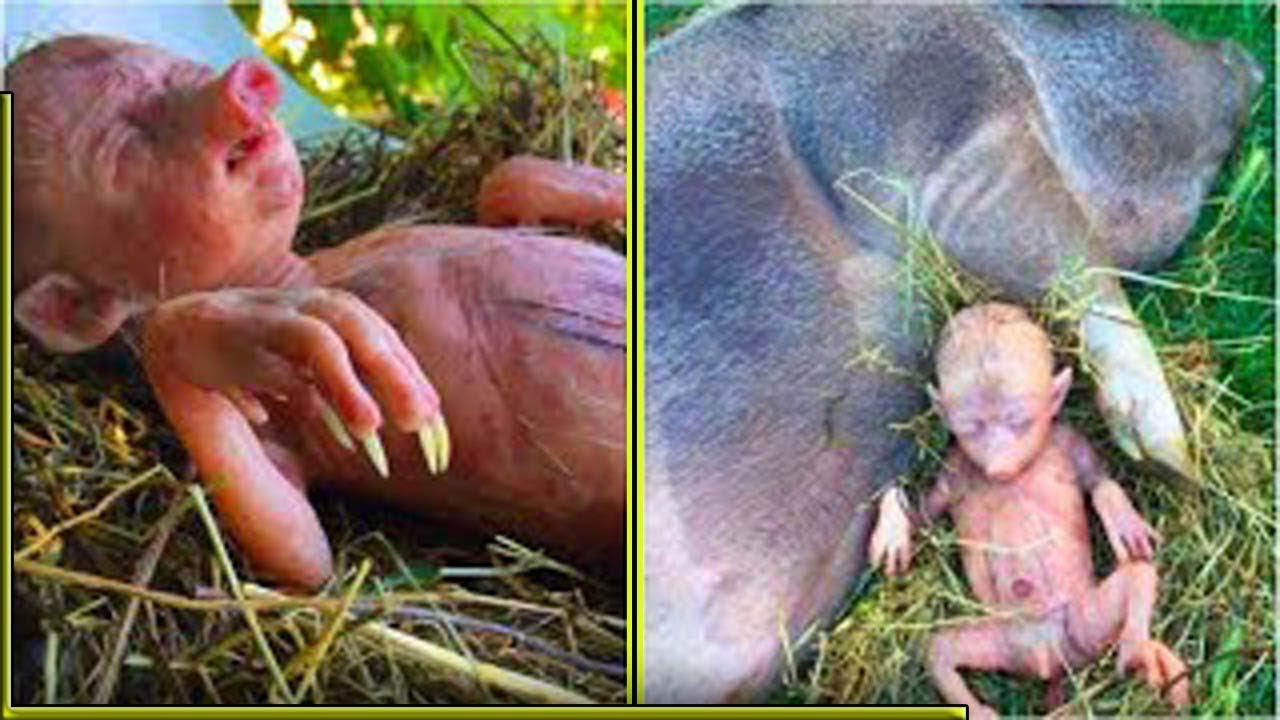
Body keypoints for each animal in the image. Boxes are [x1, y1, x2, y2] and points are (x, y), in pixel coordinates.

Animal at [10, 34, 626, 588]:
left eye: (172, 72)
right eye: (124, 148)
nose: (243, 81)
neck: (297, 270)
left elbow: (501, 180)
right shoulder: (287, 442)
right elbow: (300, 553)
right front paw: (273, 332)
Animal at [869, 303, 1189, 719]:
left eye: (1020, 421)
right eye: (971, 427)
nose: (999, 467)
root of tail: (1047, 661)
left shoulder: (1067, 437)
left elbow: (1097, 476)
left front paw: (1124, 521)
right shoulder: (952, 469)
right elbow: (924, 511)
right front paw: (891, 528)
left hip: (1081, 623)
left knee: (1137, 575)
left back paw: (1144, 656)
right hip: (1004, 640)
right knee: (940, 647)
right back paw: (980, 709)